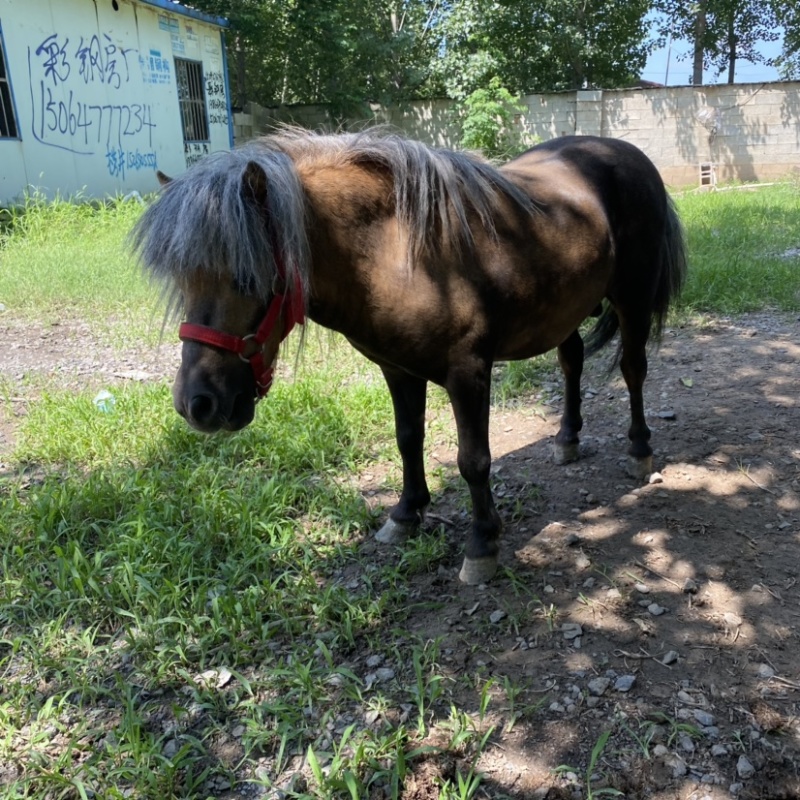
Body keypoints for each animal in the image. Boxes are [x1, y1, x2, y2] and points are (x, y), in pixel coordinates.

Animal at [131, 129, 687, 585]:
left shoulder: (468, 372)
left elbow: (473, 460)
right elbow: (407, 440)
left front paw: (482, 544)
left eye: (247, 276)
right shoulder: (397, 370)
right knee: (572, 361)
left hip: (633, 299)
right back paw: (567, 439)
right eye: (182, 279)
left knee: (633, 370)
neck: (397, 251)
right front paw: (405, 514)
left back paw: (639, 451)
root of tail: (625, 152)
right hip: (563, 311)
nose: (197, 405)